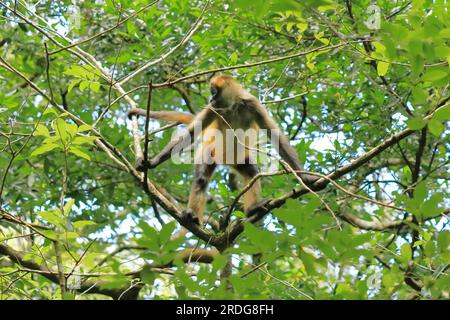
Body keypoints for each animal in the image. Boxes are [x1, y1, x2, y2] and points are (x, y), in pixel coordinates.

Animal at [128, 75, 318, 225]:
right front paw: (151, 162)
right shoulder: (214, 110)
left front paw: (305, 178)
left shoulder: (253, 104)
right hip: (208, 151)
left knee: (252, 171)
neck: (233, 106)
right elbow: (190, 133)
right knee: (201, 179)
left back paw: (252, 209)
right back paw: (191, 214)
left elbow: (276, 137)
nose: (210, 100)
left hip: (238, 159)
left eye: (213, 92)